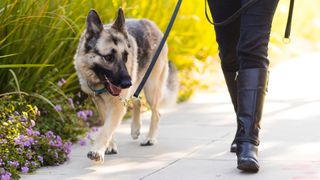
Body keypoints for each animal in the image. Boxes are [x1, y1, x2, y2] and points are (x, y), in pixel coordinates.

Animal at [74, 8, 179, 163]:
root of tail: (151, 24)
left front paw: (97, 151)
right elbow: (106, 124)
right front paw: (110, 146)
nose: (127, 83)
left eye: (125, 56)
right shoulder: (100, 102)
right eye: (108, 57)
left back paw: (150, 138)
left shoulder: (118, 104)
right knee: (138, 100)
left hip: (151, 89)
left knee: (156, 113)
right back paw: (135, 128)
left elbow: (106, 129)